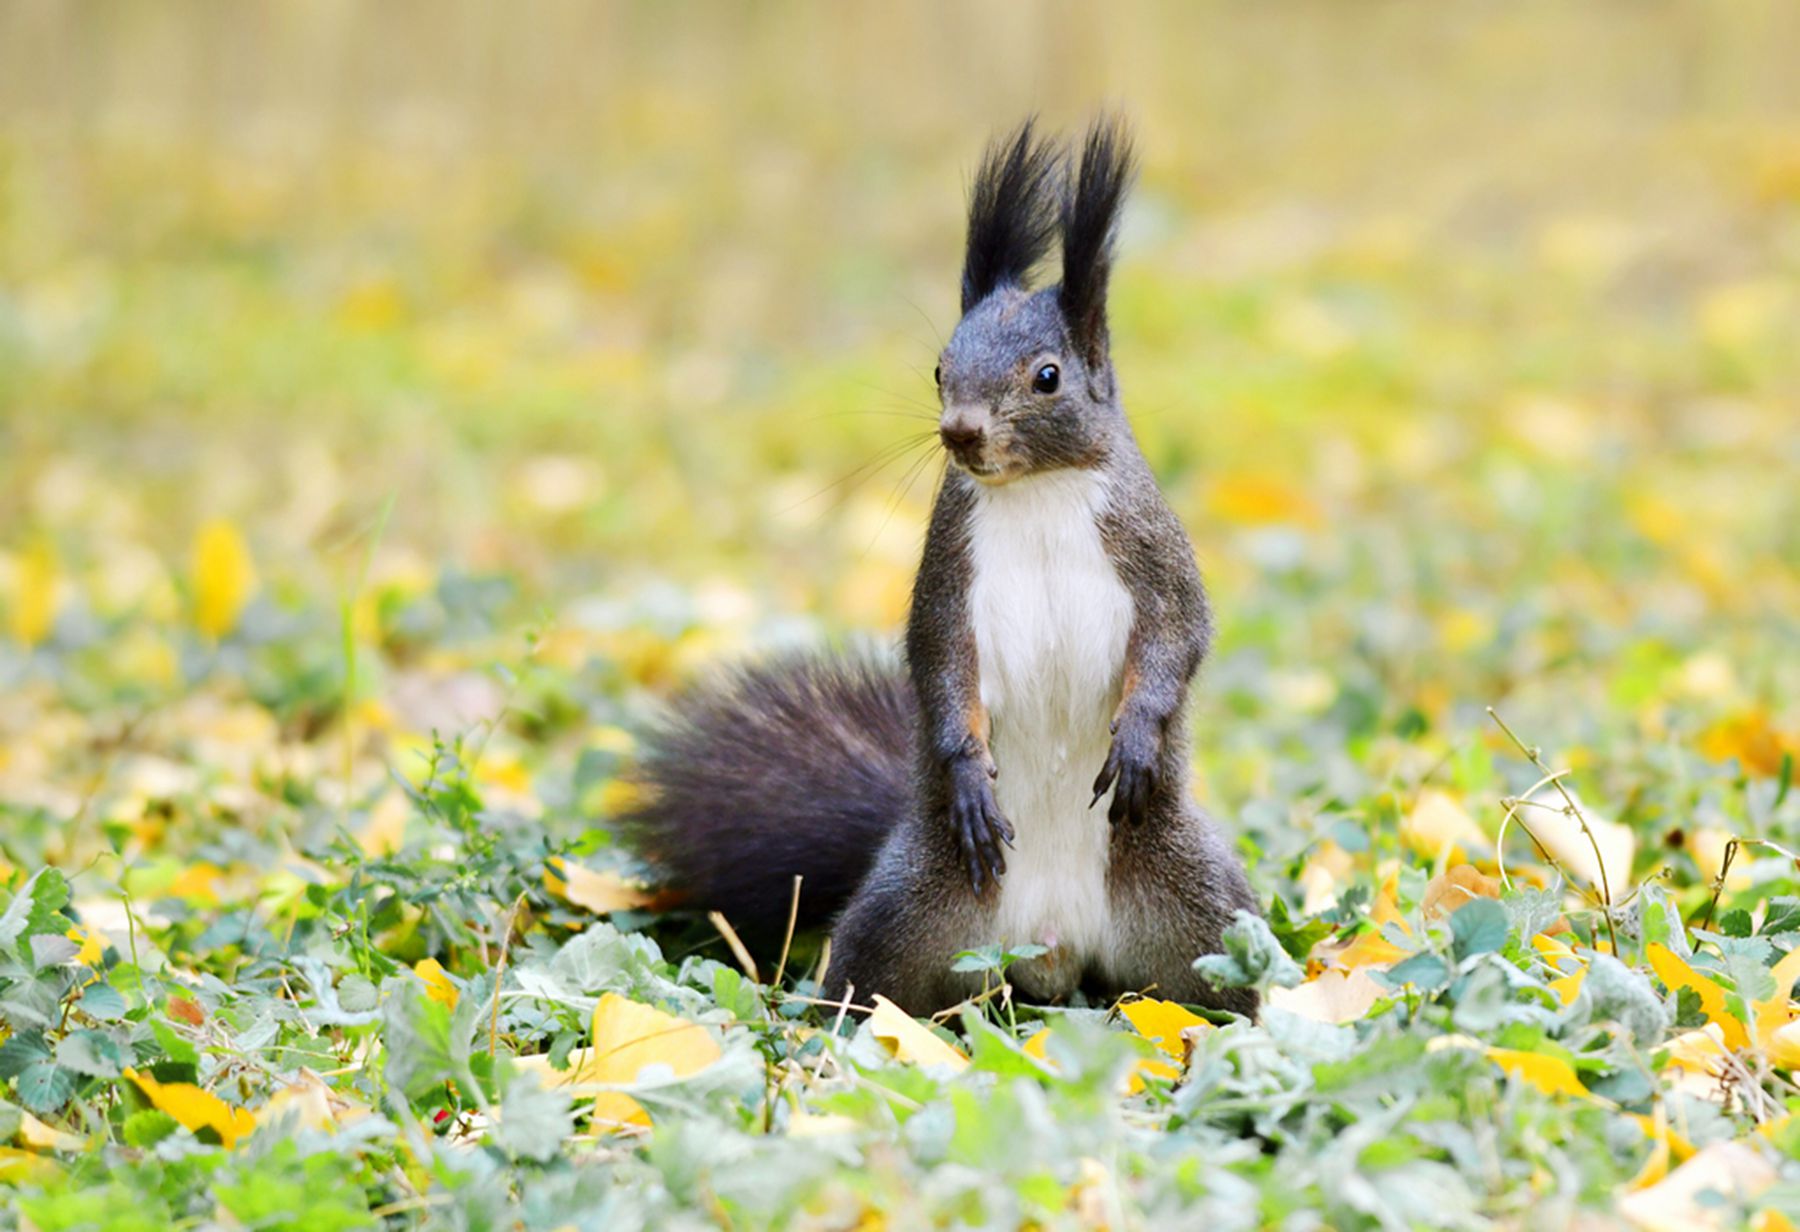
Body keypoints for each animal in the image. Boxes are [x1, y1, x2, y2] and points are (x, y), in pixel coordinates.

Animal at [626, 117, 1260, 1023]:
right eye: (938, 367)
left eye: (1048, 376)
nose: (960, 431)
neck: (1035, 491)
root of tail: (1050, 952)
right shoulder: (949, 570)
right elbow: (940, 662)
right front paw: (967, 777)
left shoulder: (1151, 550)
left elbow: (1181, 633)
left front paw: (1139, 736)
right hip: (909, 909)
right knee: (868, 983)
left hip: (1199, 907)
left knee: (1226, 985)